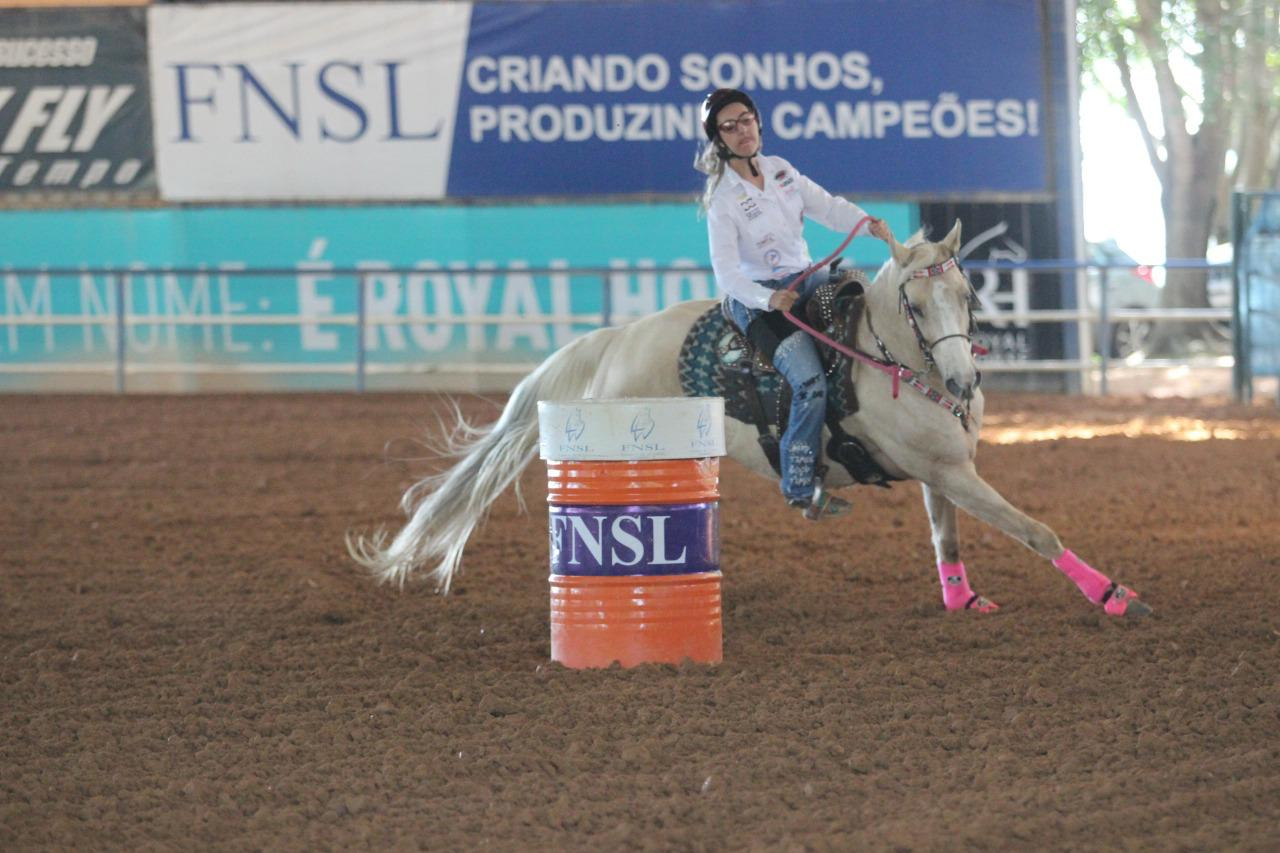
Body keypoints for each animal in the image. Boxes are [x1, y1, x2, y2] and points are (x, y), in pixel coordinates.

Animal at [345, 220, 1157, 617]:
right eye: (915, 305)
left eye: (967, 293)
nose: (963, 379)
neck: (888, 362)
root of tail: (613, 339)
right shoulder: (951, 470)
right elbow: (1036, 530)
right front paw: (1115, 596)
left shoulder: (943, 471)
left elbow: (946, 537)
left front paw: (963, 600)